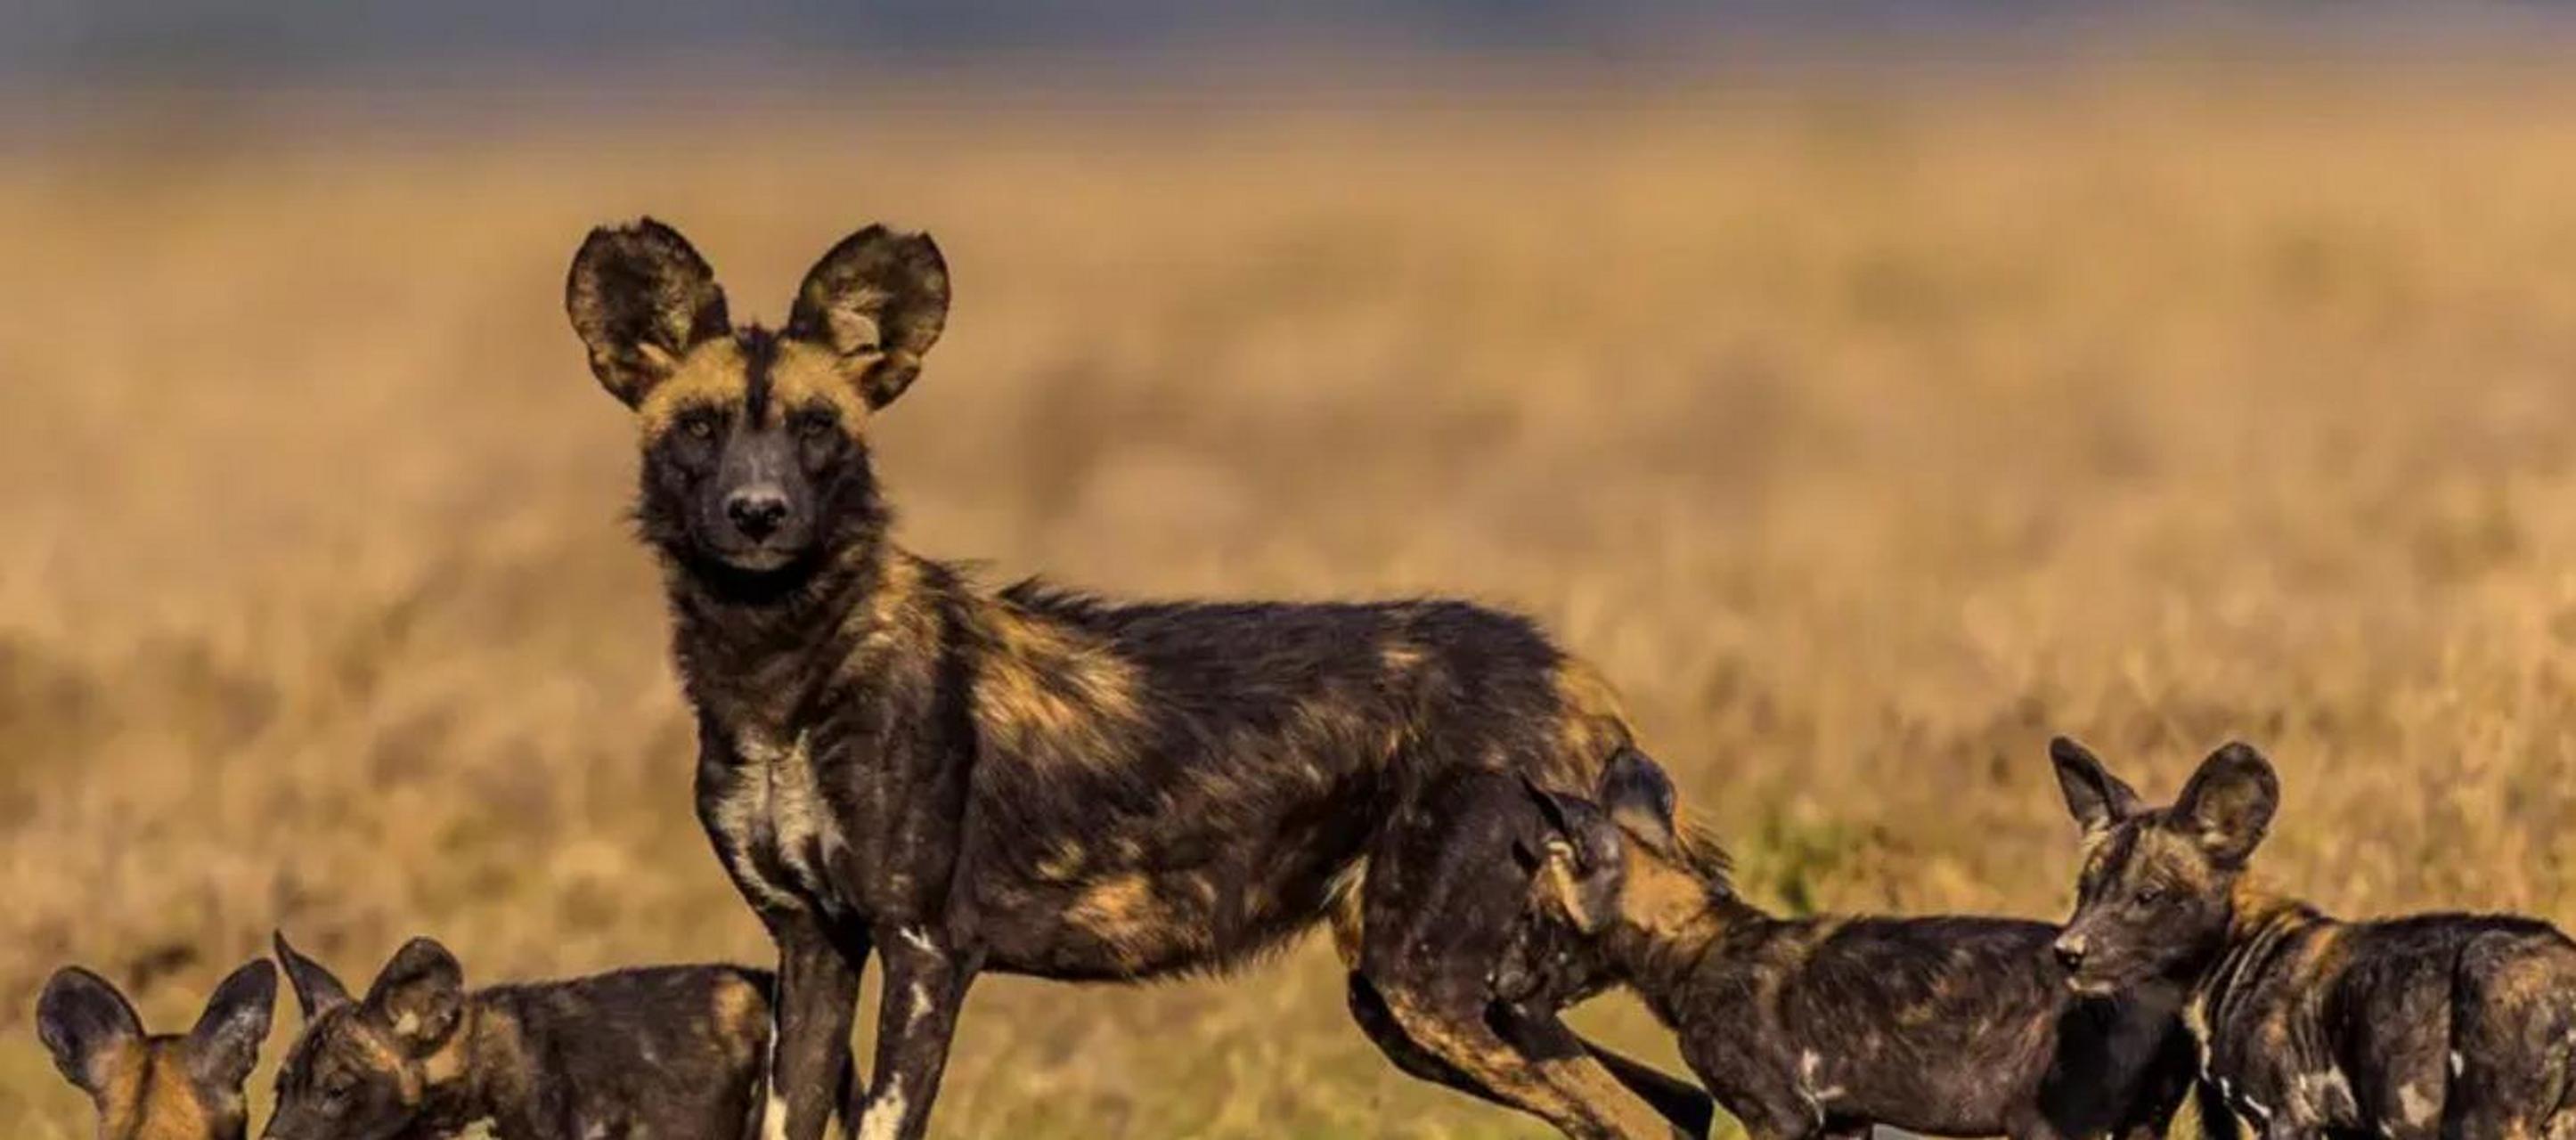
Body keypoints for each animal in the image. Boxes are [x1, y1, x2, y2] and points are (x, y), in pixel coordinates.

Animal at [564, 216, 1710, 1140]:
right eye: (700, 428)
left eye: (815, 429)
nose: (759, 515)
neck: (782, 668)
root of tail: (1571, 675)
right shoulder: (814, 947)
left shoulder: (926, 951)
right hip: (1430, 1001)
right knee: (1681, 1103)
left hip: (1429, 983)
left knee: (1636, 1117)